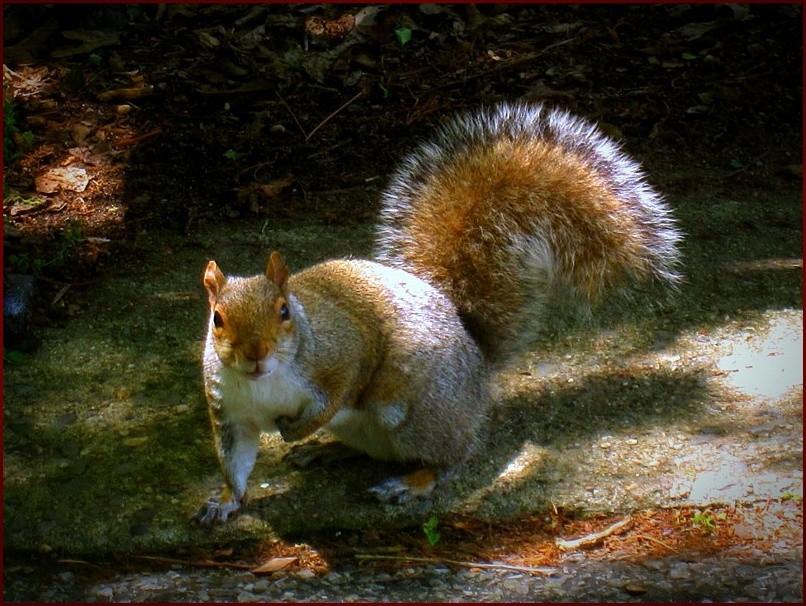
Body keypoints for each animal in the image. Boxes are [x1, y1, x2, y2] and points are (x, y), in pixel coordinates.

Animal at [194, 102, 680, 524]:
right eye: (217, 319)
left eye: (283, 311)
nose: (255, 354)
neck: (265, 383)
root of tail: (477, 358)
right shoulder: (230, 414)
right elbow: (235, 463)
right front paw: (224, 502)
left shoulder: (341, 353)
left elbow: (339, 390)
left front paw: (296, 430)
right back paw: (330, 451)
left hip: (419, 415)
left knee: (452, 457)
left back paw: (411, 481)